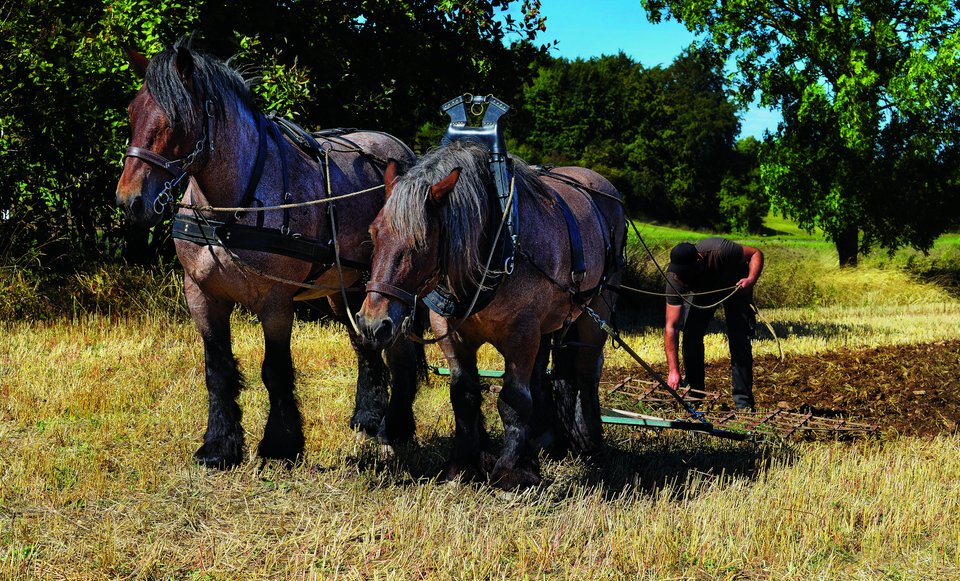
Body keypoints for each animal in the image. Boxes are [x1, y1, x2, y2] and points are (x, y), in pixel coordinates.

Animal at [114, 40, 422, 468]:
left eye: (177, 119)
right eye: (132, 111)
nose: (131, 201)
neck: (229, 208)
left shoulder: (275, 302)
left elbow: (275, 370)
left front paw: (280, 444)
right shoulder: (201, 295)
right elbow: (218, 370)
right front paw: (219, 446)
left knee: (402, 348)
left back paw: (397, 426)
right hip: (346, 288)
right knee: (366, 342)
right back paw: (368, 415)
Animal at [355, 140, 626, 488]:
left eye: (422, 242)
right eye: (374, 232)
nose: (373, 324)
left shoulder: (522, 333)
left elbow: (514, 399)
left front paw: (512, 471)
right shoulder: (451, 331)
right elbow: (464, 394)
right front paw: (464, 464)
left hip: (597, 311)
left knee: (586, 371)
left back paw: (590, 441)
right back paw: (544, 440)